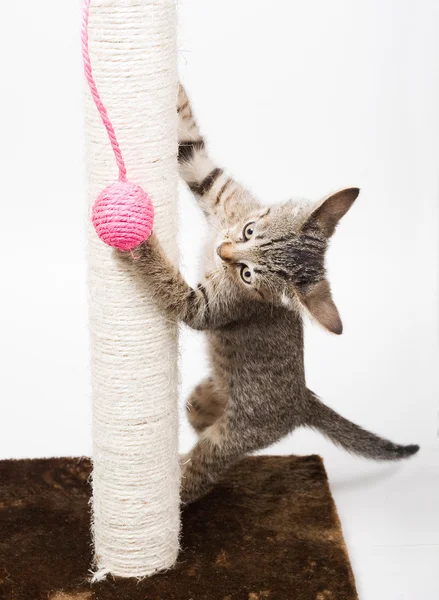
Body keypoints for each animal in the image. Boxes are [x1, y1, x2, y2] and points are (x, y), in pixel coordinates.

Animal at [121, 84, 420, 504]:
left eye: (248, 275)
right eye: (249, 231)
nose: (223, 251)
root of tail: (303, 399)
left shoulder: (205, 307)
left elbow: (172, 287)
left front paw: (139, 240)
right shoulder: (216, 186)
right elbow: (190, 145)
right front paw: (175, 92)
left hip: (233, 436)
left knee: (202, 469)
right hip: (209, 393)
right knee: (197, 412)